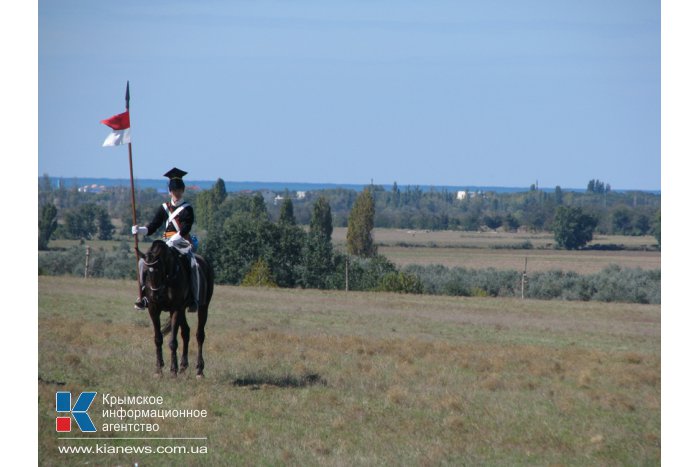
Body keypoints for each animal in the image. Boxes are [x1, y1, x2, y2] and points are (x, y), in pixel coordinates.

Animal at [137, 241, 213, 376]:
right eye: (147, 272)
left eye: (159, 269)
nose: (156, 295)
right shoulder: (153, 309)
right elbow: (158, 338)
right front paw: (159, 369)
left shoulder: (175, 309)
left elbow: (173, 341)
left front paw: (173, 370)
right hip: (182, 310)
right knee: (186, 332)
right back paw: (183, 366)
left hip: (203, 308)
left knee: (200, 335)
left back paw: (199, 370)